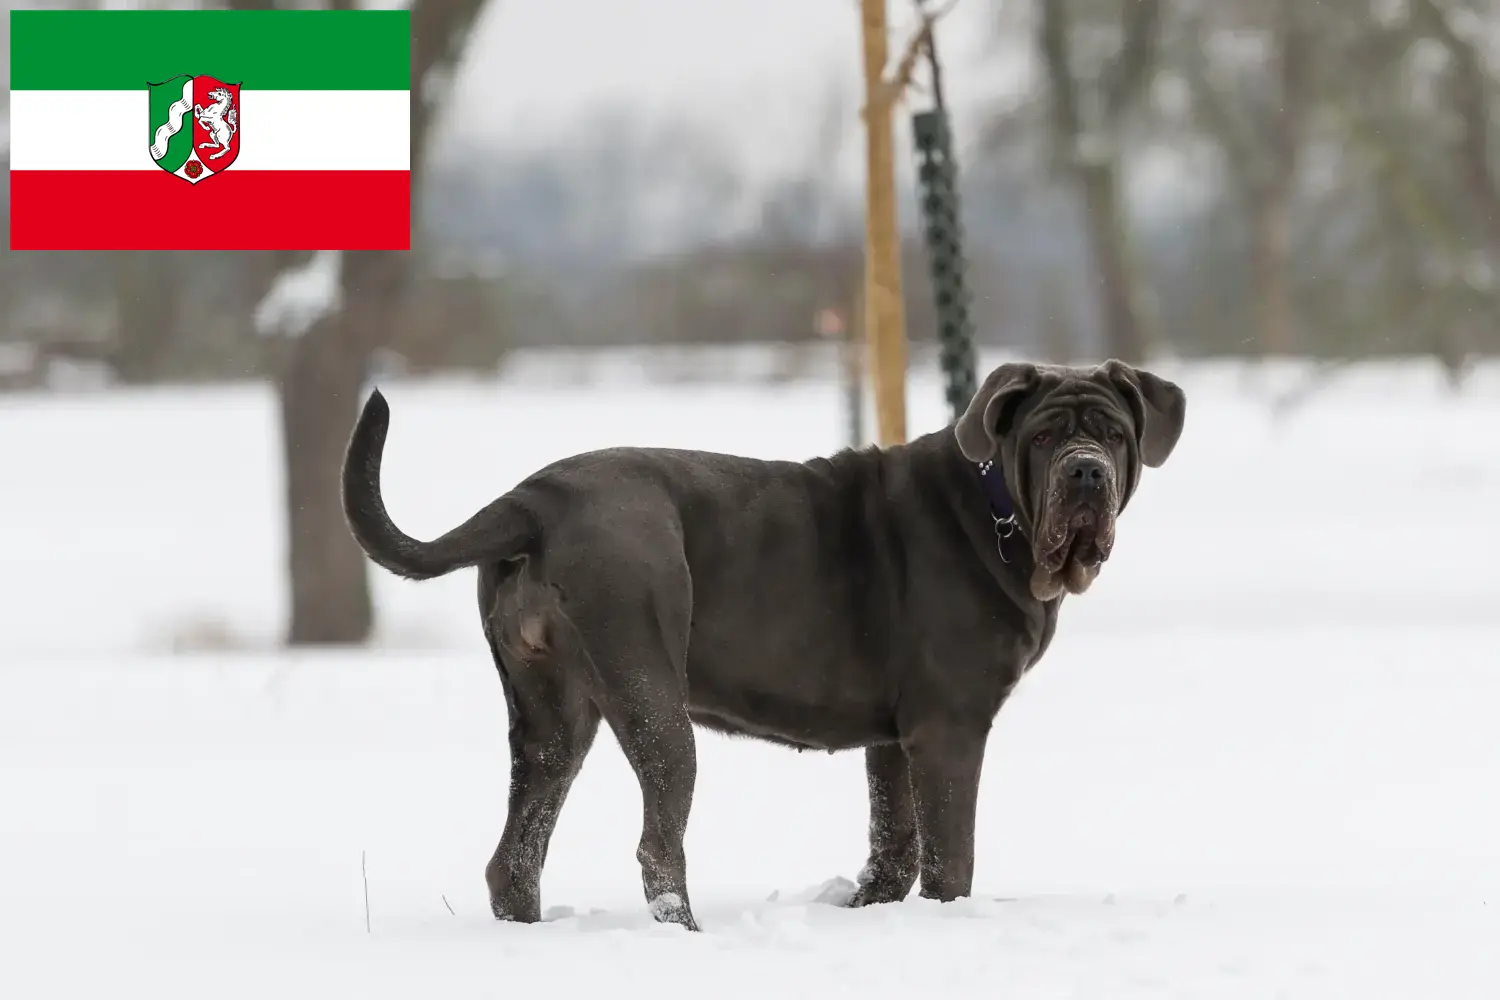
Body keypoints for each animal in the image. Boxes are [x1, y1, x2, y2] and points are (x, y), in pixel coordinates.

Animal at [340, 358, 1182, 929]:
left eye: (1112, 432)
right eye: (1044, 436)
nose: (1085, 473)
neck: (997, 507)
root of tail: (531, 501)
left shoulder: (893, 738)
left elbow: (895, 840)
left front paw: (871, 910)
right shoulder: (949, 728)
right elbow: (950, 851)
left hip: (551, 712)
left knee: (517, 847)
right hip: (650, 691)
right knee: (657, 841)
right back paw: (686, 933)